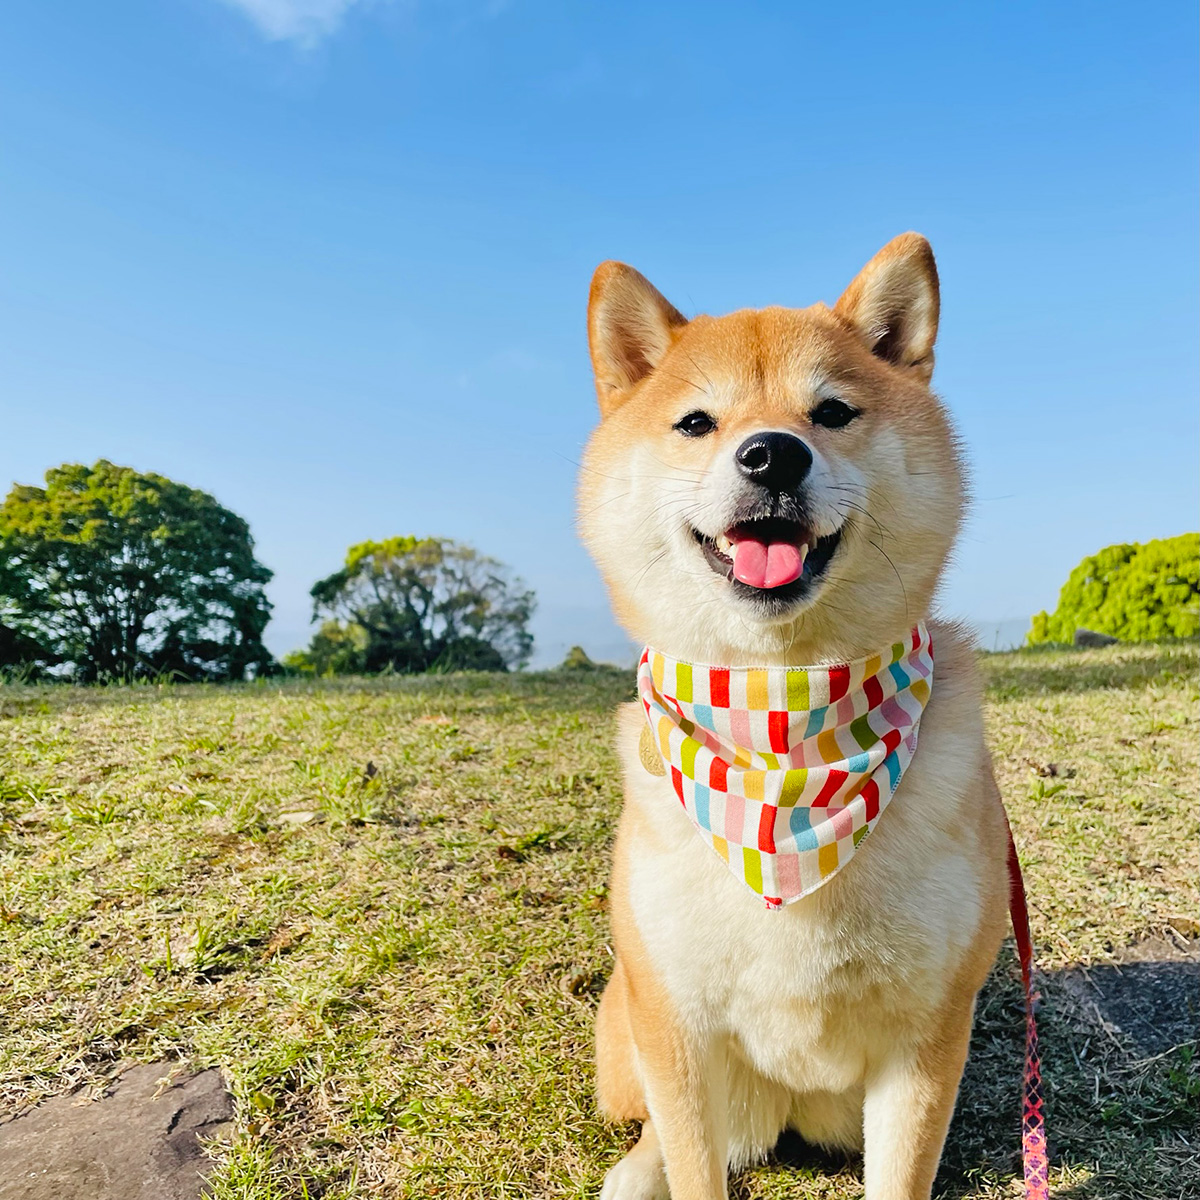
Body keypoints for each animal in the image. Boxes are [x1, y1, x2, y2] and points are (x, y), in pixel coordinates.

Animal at [576, 236, 1008, 1200]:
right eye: (696, 423)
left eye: (833, 412)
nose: (772, 455)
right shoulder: (677, 1028)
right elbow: (694, 1166)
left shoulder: (927, 1035)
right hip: (632, 1039)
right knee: (653, 1127)